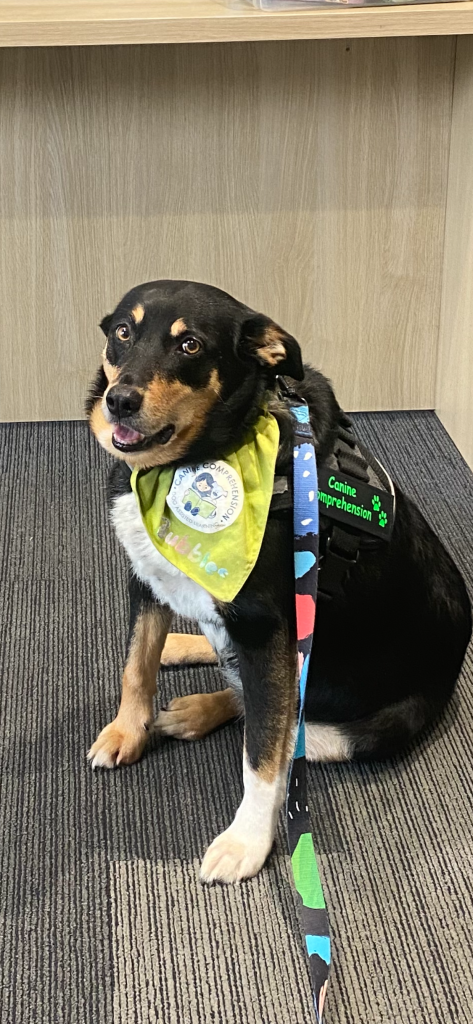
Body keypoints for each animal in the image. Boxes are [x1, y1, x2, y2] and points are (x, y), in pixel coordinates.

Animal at [87, 278, 470, 880]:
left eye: (191, 345)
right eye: (124, 332)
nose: (119, 401)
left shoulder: (269, 629)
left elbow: (264, 755)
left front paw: (246, 842)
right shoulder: (145, 577)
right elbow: (136, 665)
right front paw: (128, 730)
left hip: (366, 723)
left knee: (283, 720)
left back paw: (201, 708)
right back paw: (187, 660)